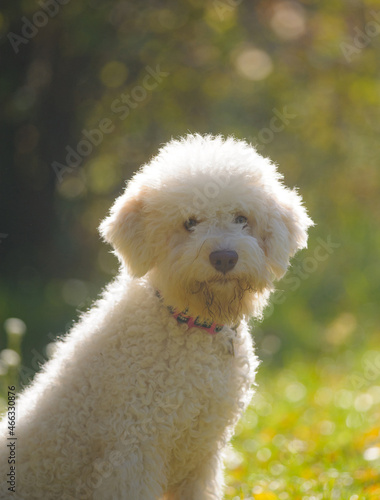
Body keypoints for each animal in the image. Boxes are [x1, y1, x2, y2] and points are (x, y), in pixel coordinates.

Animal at [0, 135, 312, 498]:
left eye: (241, 218)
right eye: (190, 222)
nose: (224, 258)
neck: (191, 323)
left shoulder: (202, 456)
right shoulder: (133, 453)